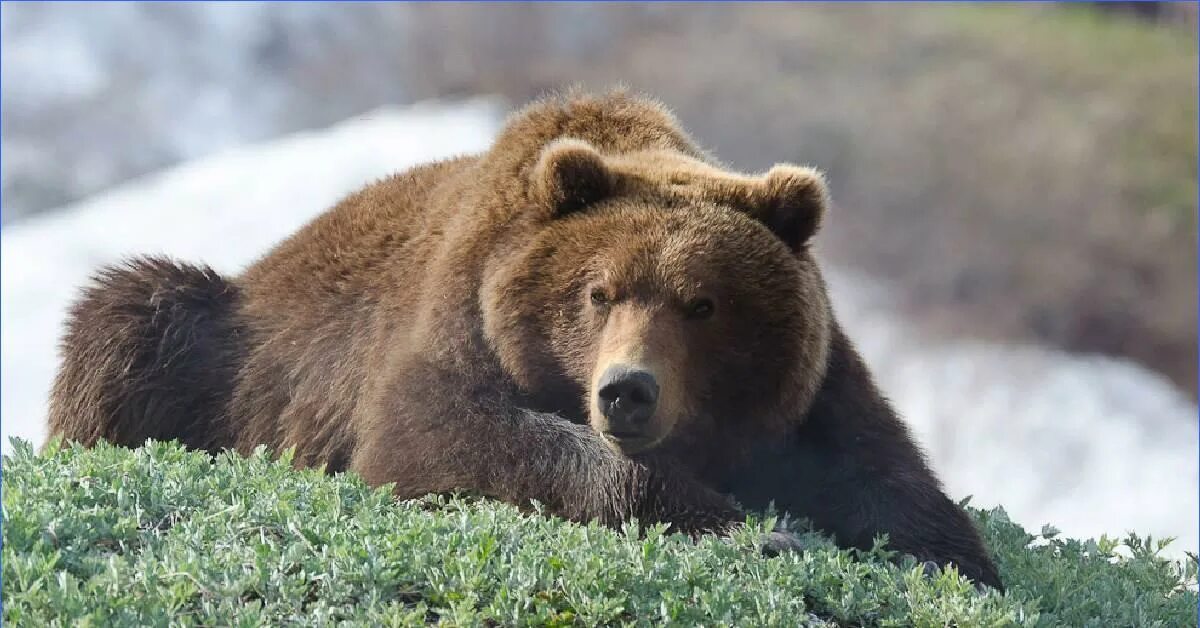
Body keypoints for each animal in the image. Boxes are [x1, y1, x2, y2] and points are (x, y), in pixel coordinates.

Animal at [46, 90, 1003, 593]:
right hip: (219, 346)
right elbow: (446, 442)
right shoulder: (453, 327)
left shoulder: (813, 392)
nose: (627, 391)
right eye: (598, 291)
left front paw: (949, 562)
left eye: (703, 303)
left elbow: (897, 490)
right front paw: (759, 533)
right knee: (128, 311)